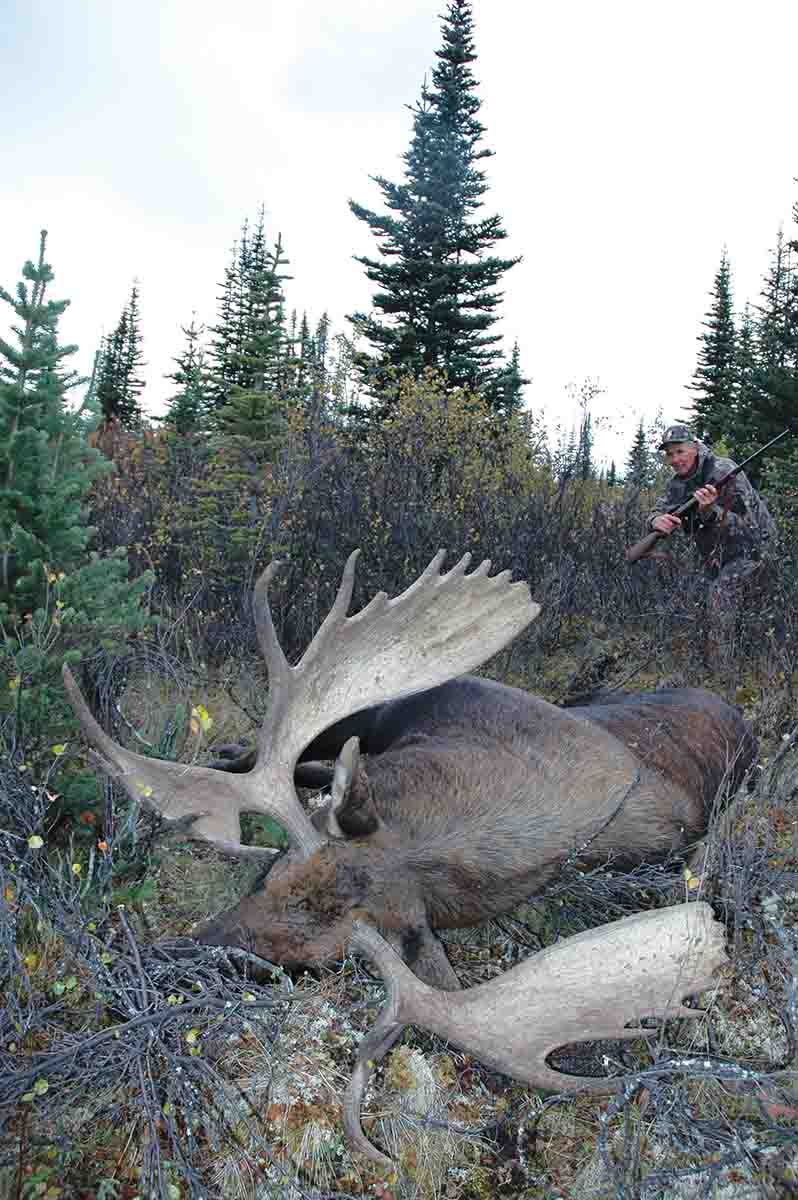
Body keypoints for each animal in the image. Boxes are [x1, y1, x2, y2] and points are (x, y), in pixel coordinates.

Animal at [63, 549, 753, 988]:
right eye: (268, 876)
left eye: (305, 964)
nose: (159, 961)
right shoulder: (406, 705)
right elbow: (300, 762)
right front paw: (234, 757)